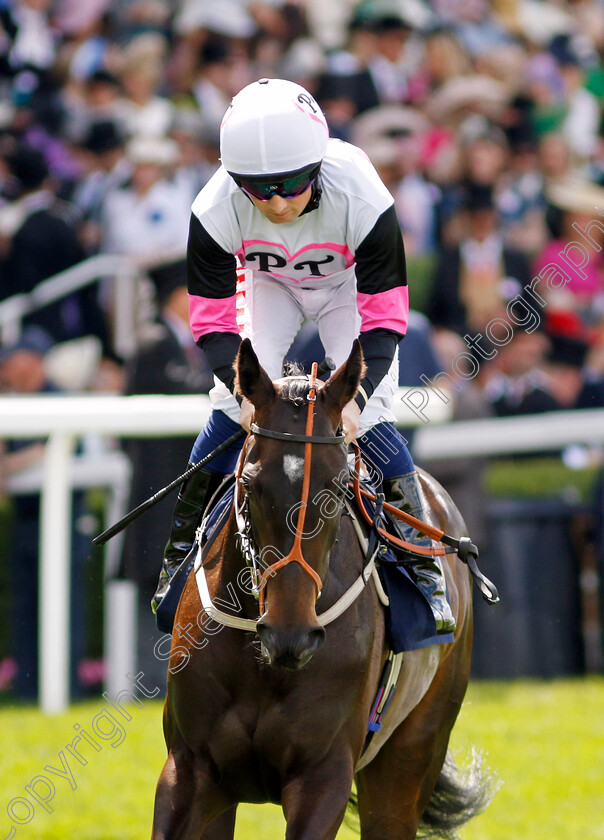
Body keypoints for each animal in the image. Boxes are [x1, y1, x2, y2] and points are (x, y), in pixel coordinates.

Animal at [152, 338, 490, 836]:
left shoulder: (323, 774)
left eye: (338, 484)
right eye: (249, 482)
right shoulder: (191, 770)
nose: (290, 634)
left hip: (410, 756)